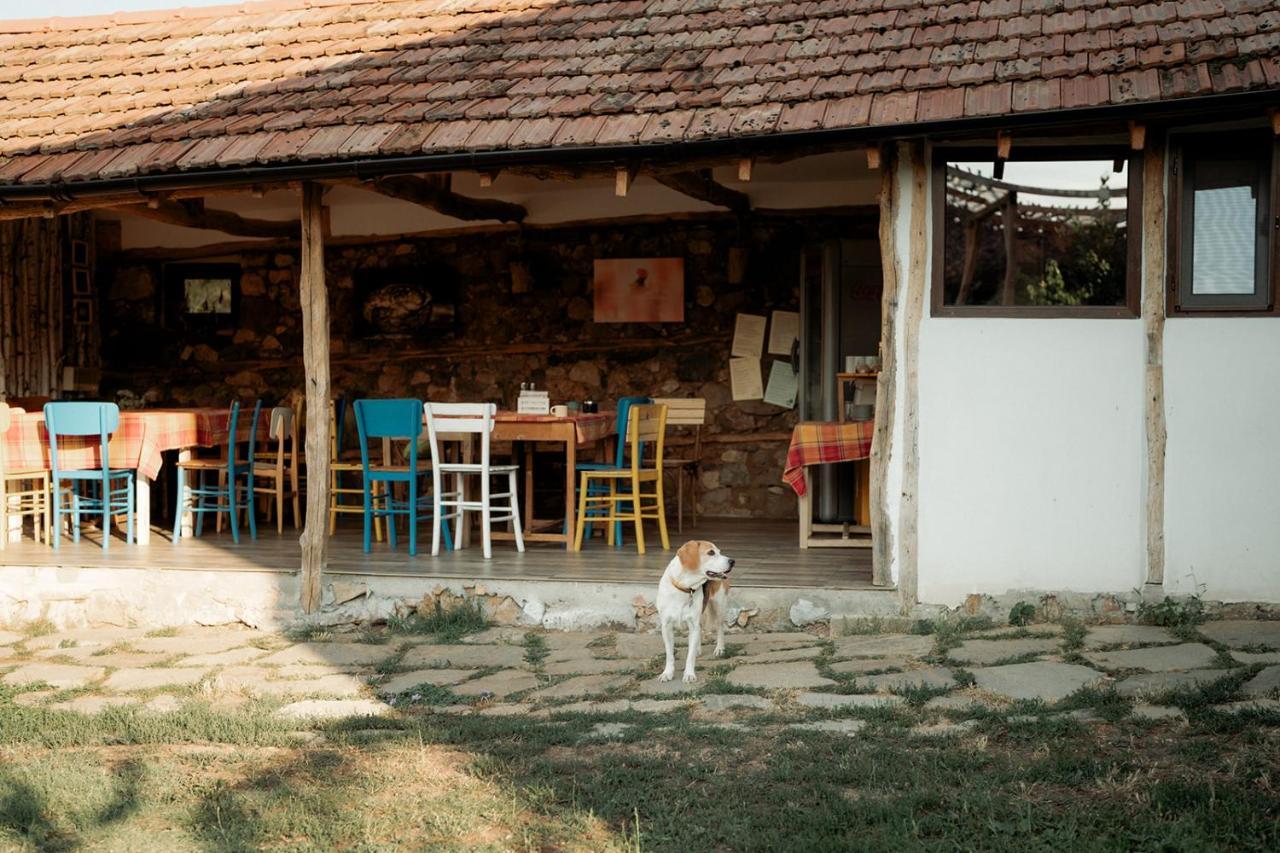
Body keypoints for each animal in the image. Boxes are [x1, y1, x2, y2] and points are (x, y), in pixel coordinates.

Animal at [655, 535, 737, 681]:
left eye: (719, 552)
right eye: (711, 552)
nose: (732, 561)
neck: (684, 588)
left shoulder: (693, 625)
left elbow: (690, 656)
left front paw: (689, 674)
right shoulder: (666, 626)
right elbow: (670, 655)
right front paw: (667, 673)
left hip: (719, 606)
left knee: (720, 628)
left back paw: (719, 649)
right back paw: (698, 649)